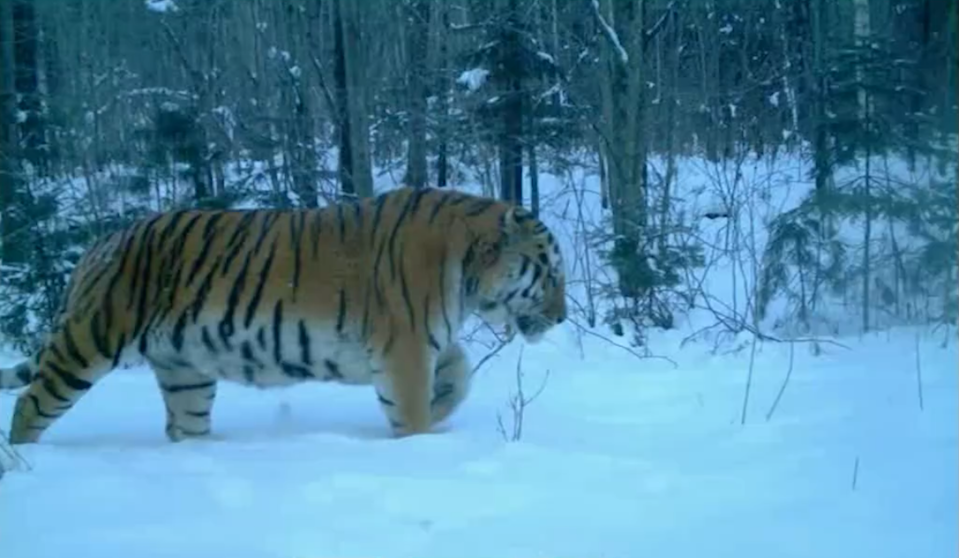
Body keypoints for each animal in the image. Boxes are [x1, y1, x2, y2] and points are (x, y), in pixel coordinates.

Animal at [0, 186, 567, 445]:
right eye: (551, 272)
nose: (563, 317)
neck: (467, 275)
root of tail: (100, 243)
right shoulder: (403, 348)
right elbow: (413, 406)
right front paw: (419, 437)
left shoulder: (424, 342)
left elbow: (459, 369)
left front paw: (443, 405)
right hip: (89, 342)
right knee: (29, 406)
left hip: (185, 372)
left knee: (184, 425)